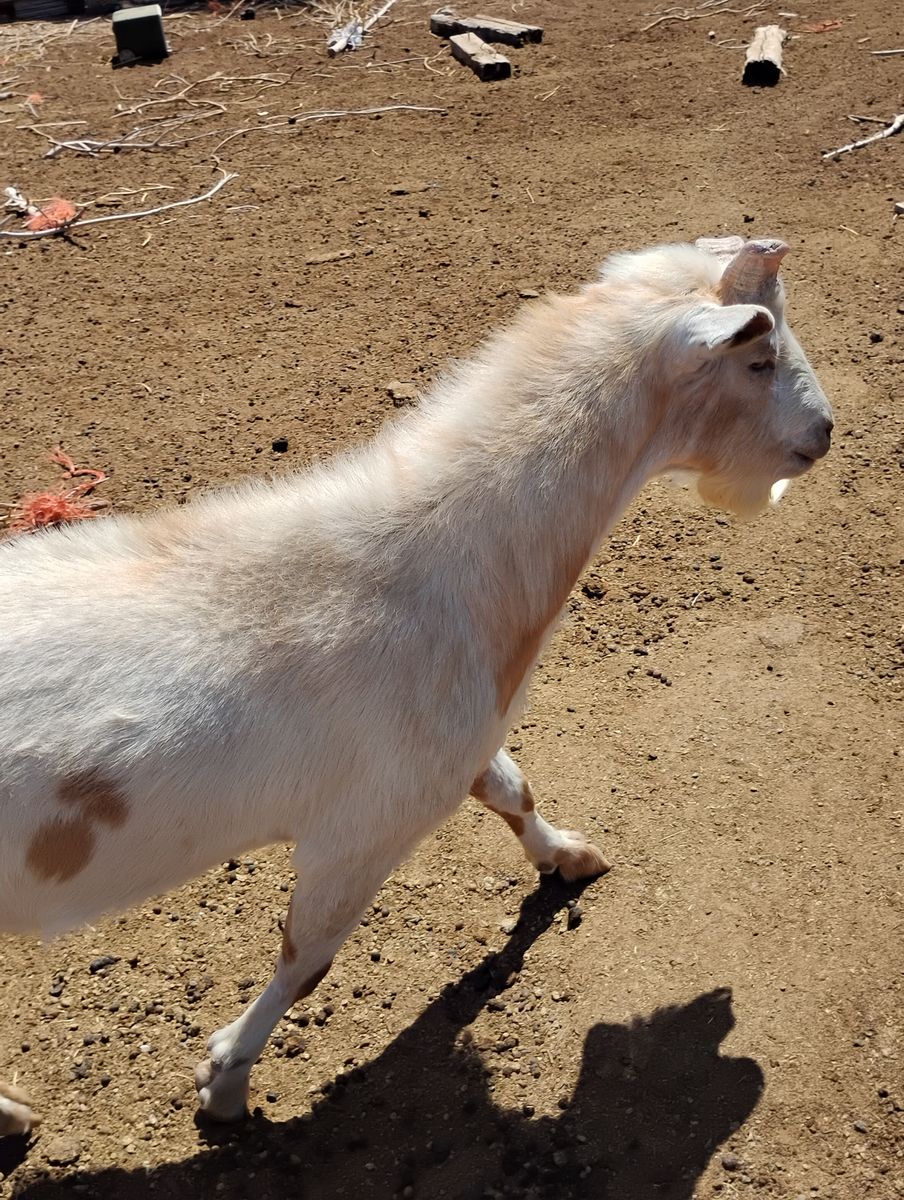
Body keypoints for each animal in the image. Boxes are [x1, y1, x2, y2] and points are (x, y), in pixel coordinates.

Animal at [0, 237, 832, 1135]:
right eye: (759, 359)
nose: (825, 432)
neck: (435, 564)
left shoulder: (453, 743)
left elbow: (511, 789)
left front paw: (569, 857)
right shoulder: (364, 825)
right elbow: (308, 959)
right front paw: (225, 1081)